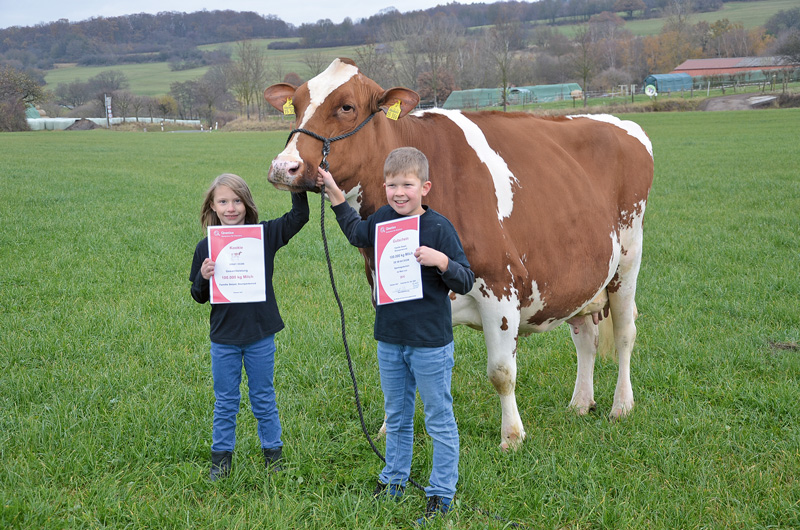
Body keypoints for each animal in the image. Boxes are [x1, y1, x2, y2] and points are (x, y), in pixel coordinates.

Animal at [264, 58, 654, 450]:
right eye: (296, 105)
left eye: (347, 107)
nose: (284, 167)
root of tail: (622, 123)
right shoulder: (386, 297)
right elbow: (398, 374)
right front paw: (390, 431)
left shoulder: (500, 287)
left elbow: (501, 372)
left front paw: (512, 436)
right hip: (581, 277)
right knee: (585, 338)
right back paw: (580, 403)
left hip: (628, 259)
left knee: (625, 333)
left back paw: (621, 405)